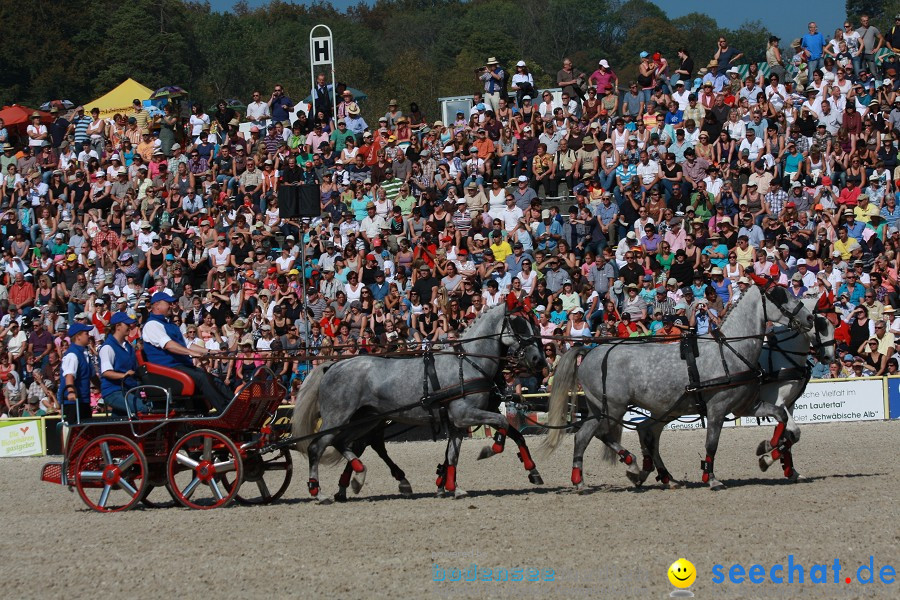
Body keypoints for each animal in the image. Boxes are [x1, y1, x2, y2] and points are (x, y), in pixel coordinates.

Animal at [296, 302, 548, 500]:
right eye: (519, 326)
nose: (539, 360)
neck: (468, 362)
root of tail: (332, 366)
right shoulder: (464, 414)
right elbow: (503, 424)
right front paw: (489, 450)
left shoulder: (457, 422)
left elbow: (453, 455)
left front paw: (451, 487)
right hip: (338, 418)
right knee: (318, 446)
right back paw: (320, 492)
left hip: (365, 420)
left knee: (347, 444)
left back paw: (358, 478)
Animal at [540, 282, 816, 488]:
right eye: (780, 296)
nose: (810, 317)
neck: (731, 350)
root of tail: (589, 352)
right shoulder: (717, 408)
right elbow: (711, 443)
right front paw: (711, 477)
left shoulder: (746, 406)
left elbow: (781, 415)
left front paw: (767, 450)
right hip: (615, 407)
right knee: (604, 434)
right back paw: (632, 464)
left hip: (601, 408)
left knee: (584, 436)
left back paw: (581, 480)